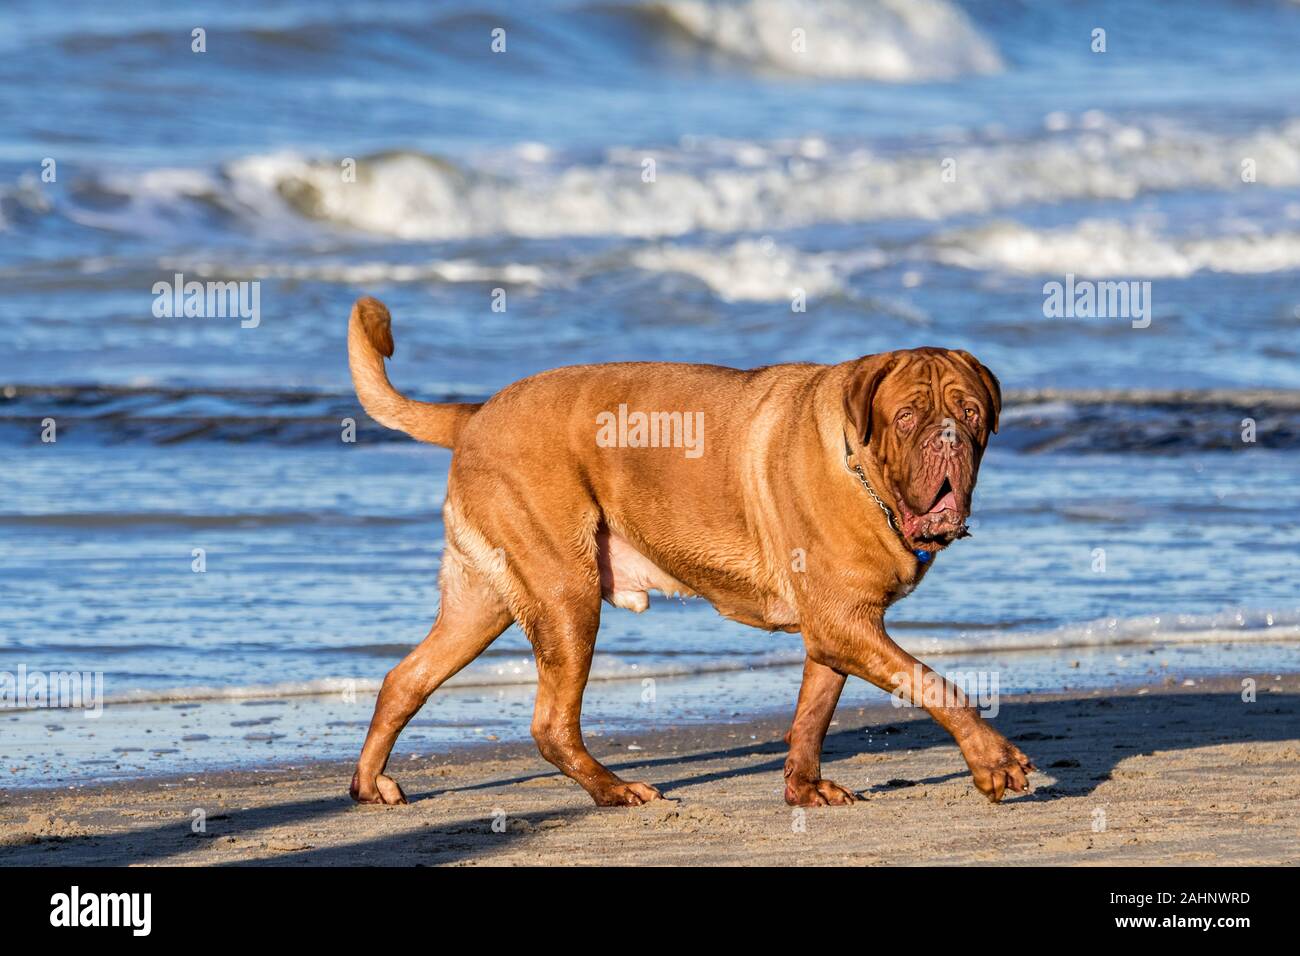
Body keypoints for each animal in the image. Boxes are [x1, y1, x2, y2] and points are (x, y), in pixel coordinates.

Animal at [345, 297, 1034, 806]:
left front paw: (804, 788)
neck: (861, 467)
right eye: (909, 417)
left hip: (484, 600)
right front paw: (994, 760)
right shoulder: (845, 622)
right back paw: (614, 791)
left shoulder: (840, 626)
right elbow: (935, 684)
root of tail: (474, 413)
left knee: (406, 678)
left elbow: (814, 711)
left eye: (971, 412)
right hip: (566, 596)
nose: (949, 438)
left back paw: (369, 783)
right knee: (550, 723)